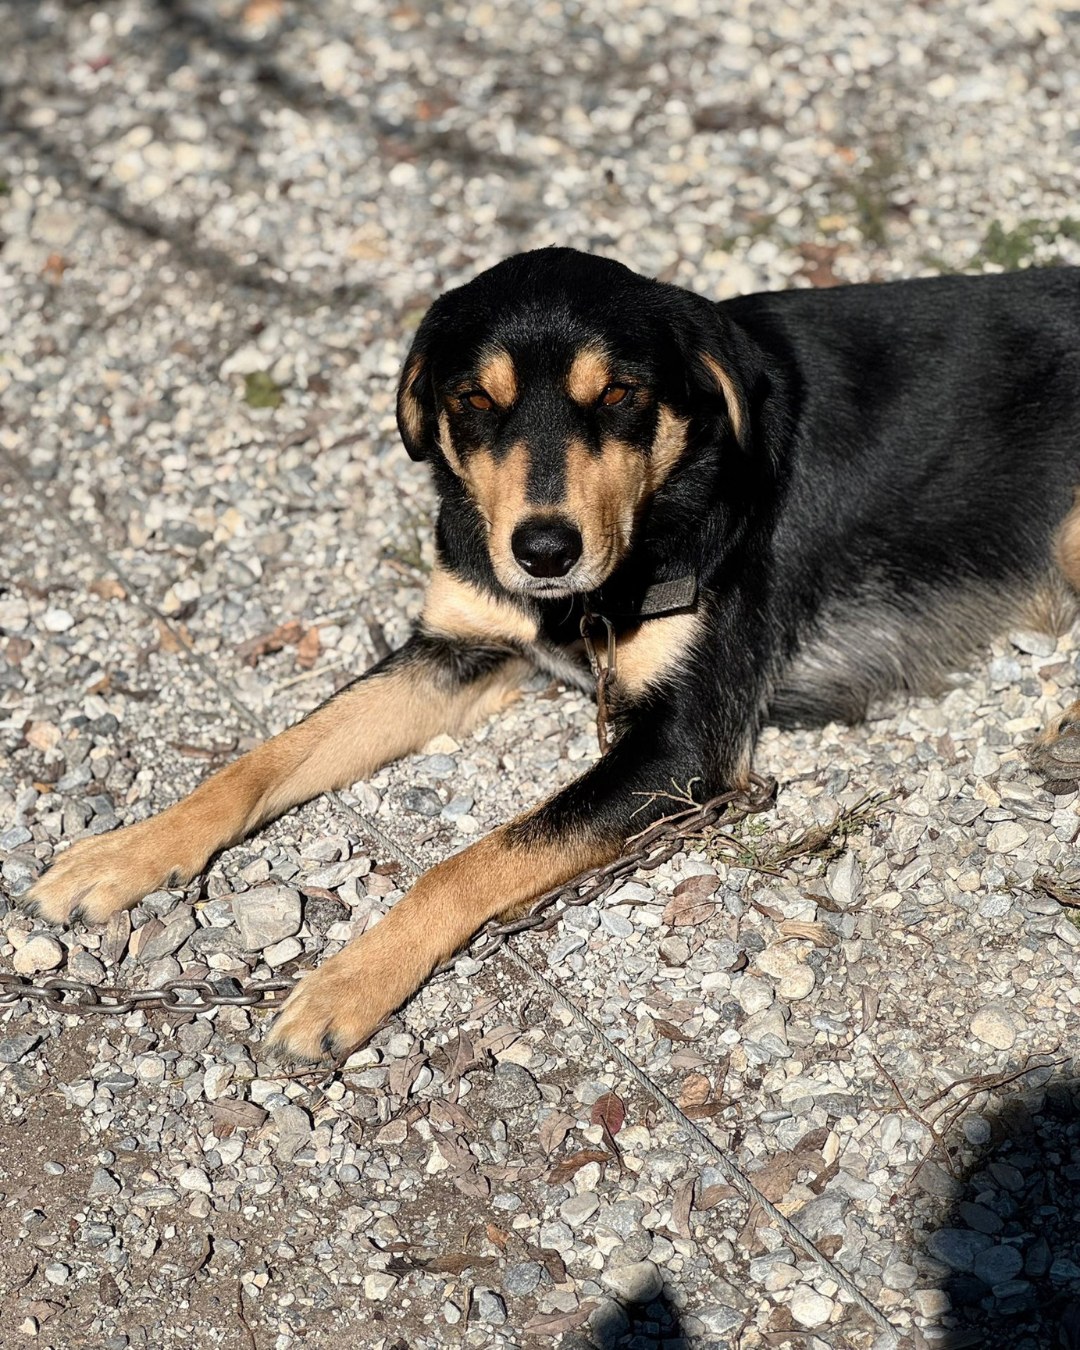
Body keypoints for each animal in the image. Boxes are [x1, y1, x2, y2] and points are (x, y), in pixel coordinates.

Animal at [24, 247, 1080, 1063]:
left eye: (619, 395)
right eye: (472, 401)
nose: (542, 551)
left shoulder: (677, 751)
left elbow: (473, 859)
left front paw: (345, 985)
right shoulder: (457, 649)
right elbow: (261, 761)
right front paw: (127, 852)